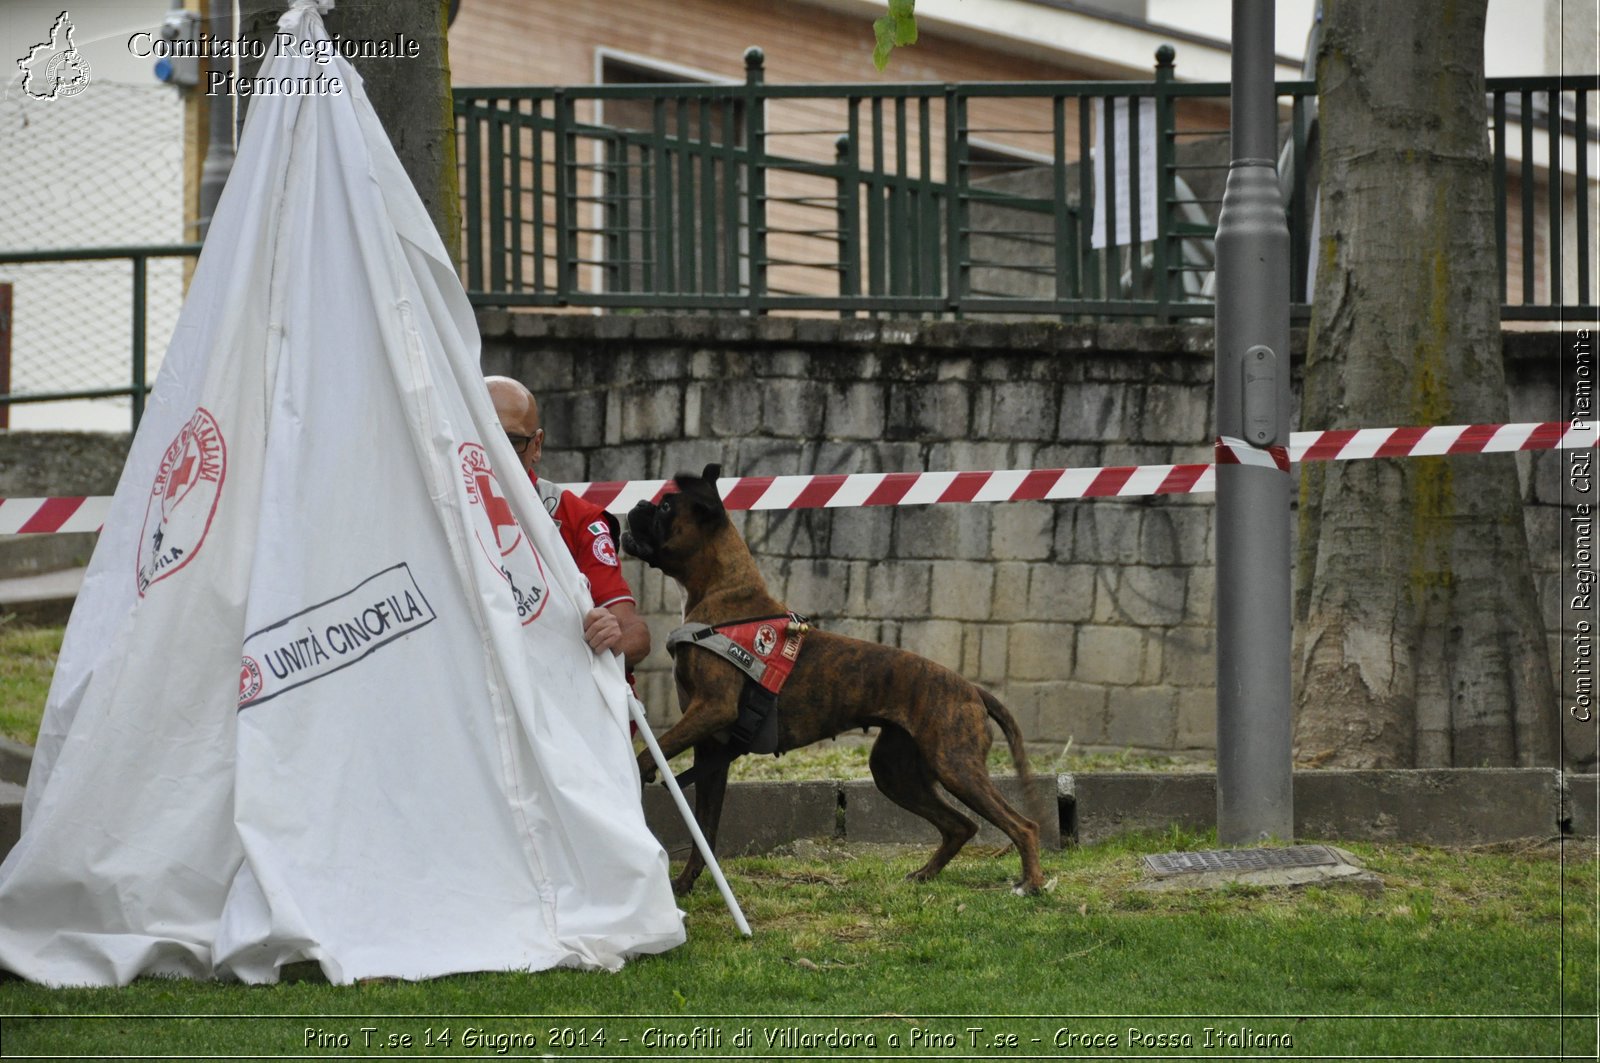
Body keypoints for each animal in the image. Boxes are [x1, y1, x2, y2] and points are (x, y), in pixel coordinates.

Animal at [617, 464, 1043, 896]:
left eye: (666, 506)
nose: (639, 502)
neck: (724, 596)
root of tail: (971, 688)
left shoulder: (712, 710)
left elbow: (651, 751)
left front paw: (639, 772)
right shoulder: (710, 750)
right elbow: (703, 830)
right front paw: (684, 884)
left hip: (954, 764)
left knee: (1022, 824)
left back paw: (1031, 884)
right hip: (896, 773)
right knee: (961, 825)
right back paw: (925, 874)